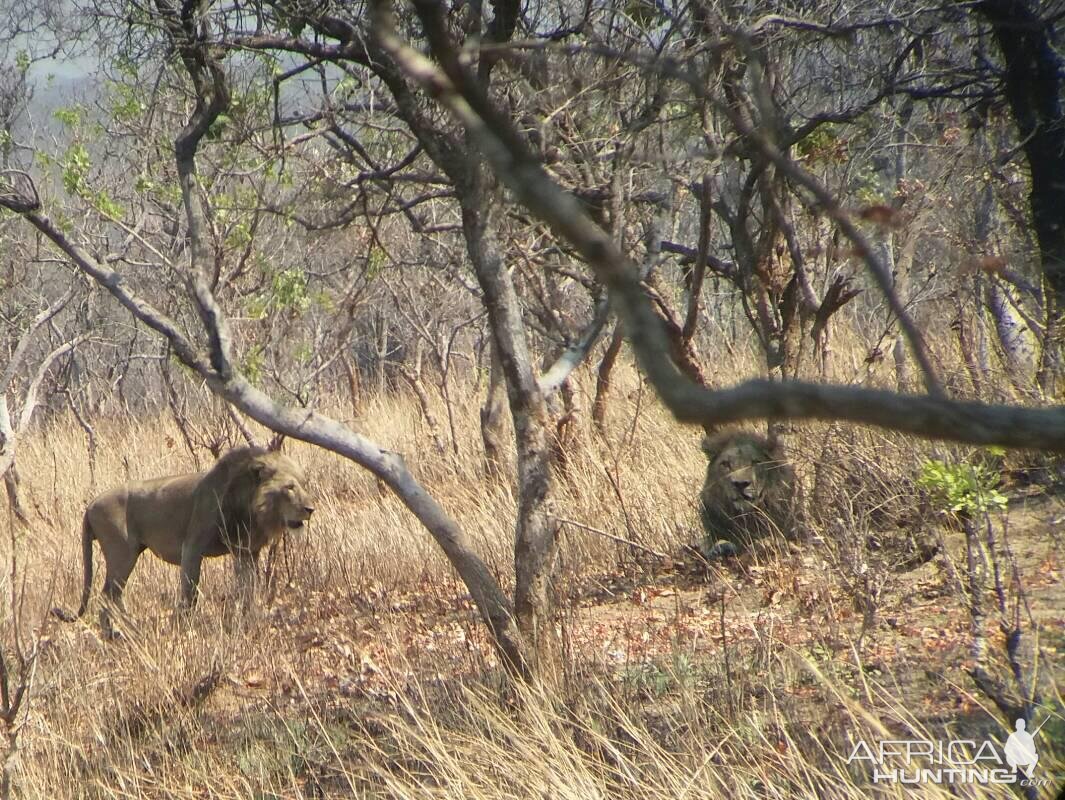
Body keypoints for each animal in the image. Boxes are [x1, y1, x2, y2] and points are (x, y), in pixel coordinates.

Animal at [55, 447, 310, 634]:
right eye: (289, 487)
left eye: (303, 484)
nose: (310, 509)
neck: (249, 507)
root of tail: (90, 505)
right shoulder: (192, 547)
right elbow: (190, 593)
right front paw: (184, 629)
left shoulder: (246, 551)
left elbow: (248, 589)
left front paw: (250, 621)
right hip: (122, 554)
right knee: (108, 596)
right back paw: (116, 634)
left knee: (113, 596)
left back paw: (130, 630)